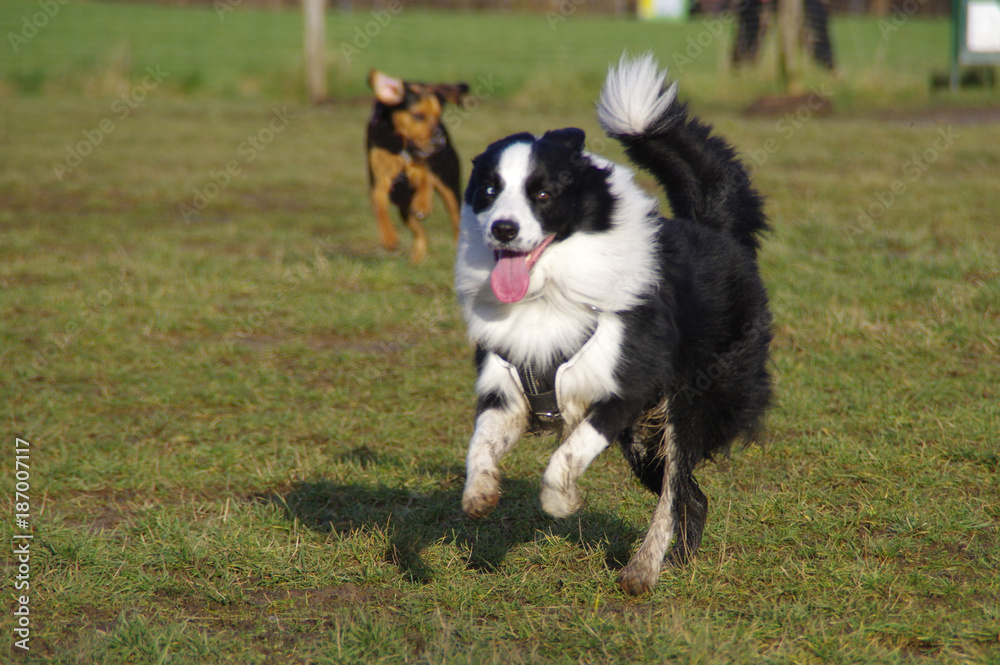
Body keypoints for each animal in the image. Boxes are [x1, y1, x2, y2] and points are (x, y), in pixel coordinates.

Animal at [368, 70, 468, 262]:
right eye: (418, 116)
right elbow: (379, 203)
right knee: (420, 232)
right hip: (403, 204)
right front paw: (388, 236)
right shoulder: (380, 178)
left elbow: (425, 177)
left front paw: (423, 204)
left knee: (456, 218)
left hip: (449, 186)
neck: (401, 143)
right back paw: (416, 259)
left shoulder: (423, 164)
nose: (440, 140)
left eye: (439, 115)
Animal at [454, 53, 772, 592]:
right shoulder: (505, 391)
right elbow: (479, 444)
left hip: (687, 407)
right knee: (692, 496)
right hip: (646, 441)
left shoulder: (624, 392)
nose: (503, 228)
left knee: (675, 492)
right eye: (490, 189)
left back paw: (642, 571)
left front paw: (560, 501)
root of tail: (714, 229)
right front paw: (479, 494)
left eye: (543, 193)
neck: (549, 292)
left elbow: (566, 455)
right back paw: (675, 563)